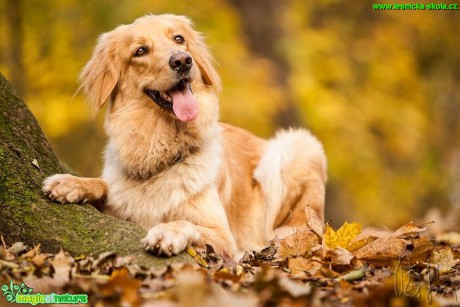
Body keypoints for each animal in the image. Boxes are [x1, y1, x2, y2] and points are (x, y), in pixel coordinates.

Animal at [41, 14, 326, 260]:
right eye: (140, 51)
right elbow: (105, 185)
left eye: (178, 39)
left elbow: (185, 223)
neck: (161, 148)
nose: (182, 60)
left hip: (296, 147)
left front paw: (167, 232)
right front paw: (71, 183)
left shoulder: (223, 236)